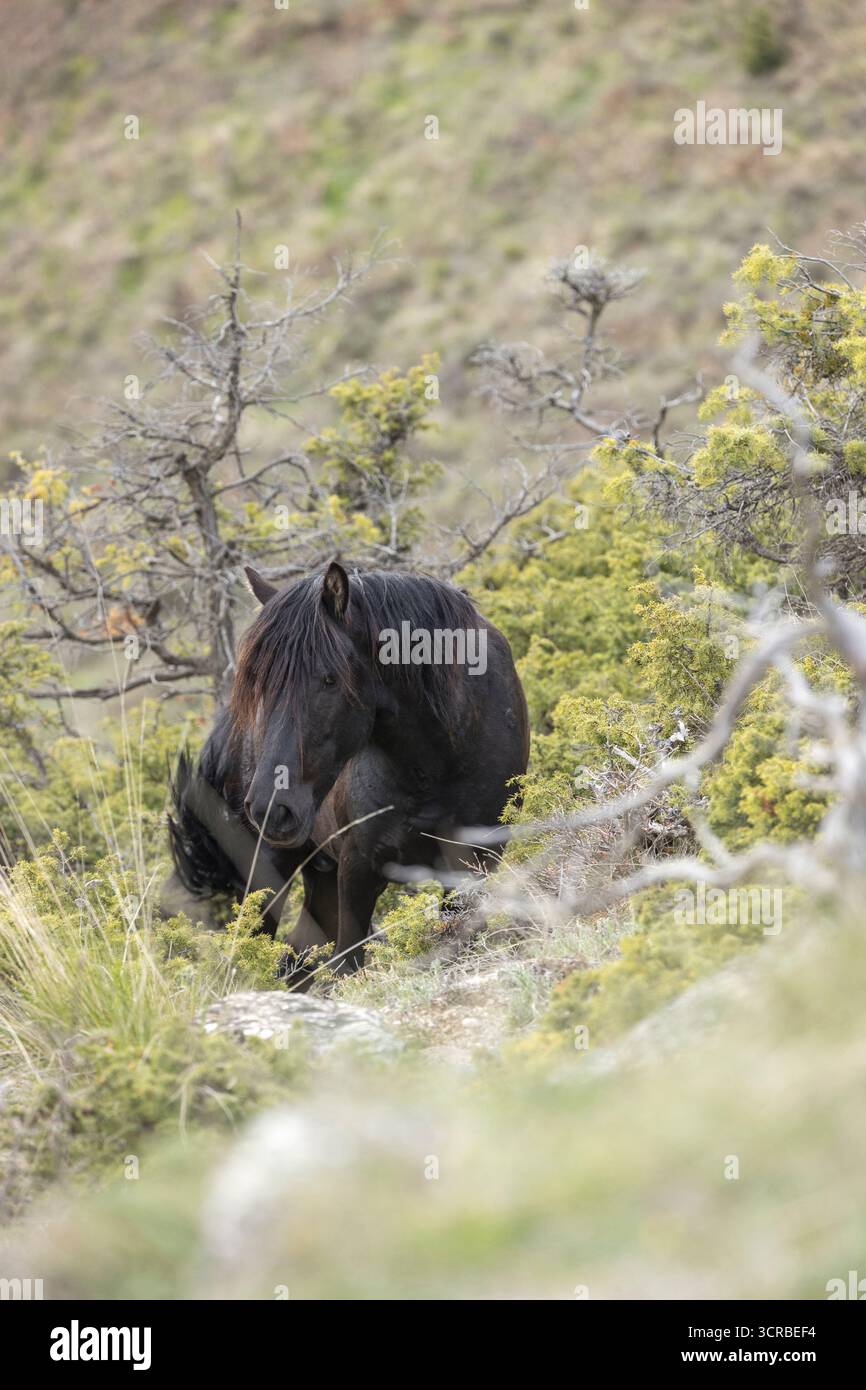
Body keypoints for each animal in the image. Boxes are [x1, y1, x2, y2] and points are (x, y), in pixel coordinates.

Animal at [167, 560, 529, 977]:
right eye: (257, 683)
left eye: (329, 678)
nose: (270, 809)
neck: (436, 764)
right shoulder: (358, 870)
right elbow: (349, 966)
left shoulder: (475, 863)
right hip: (267, 876)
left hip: (321, 876)